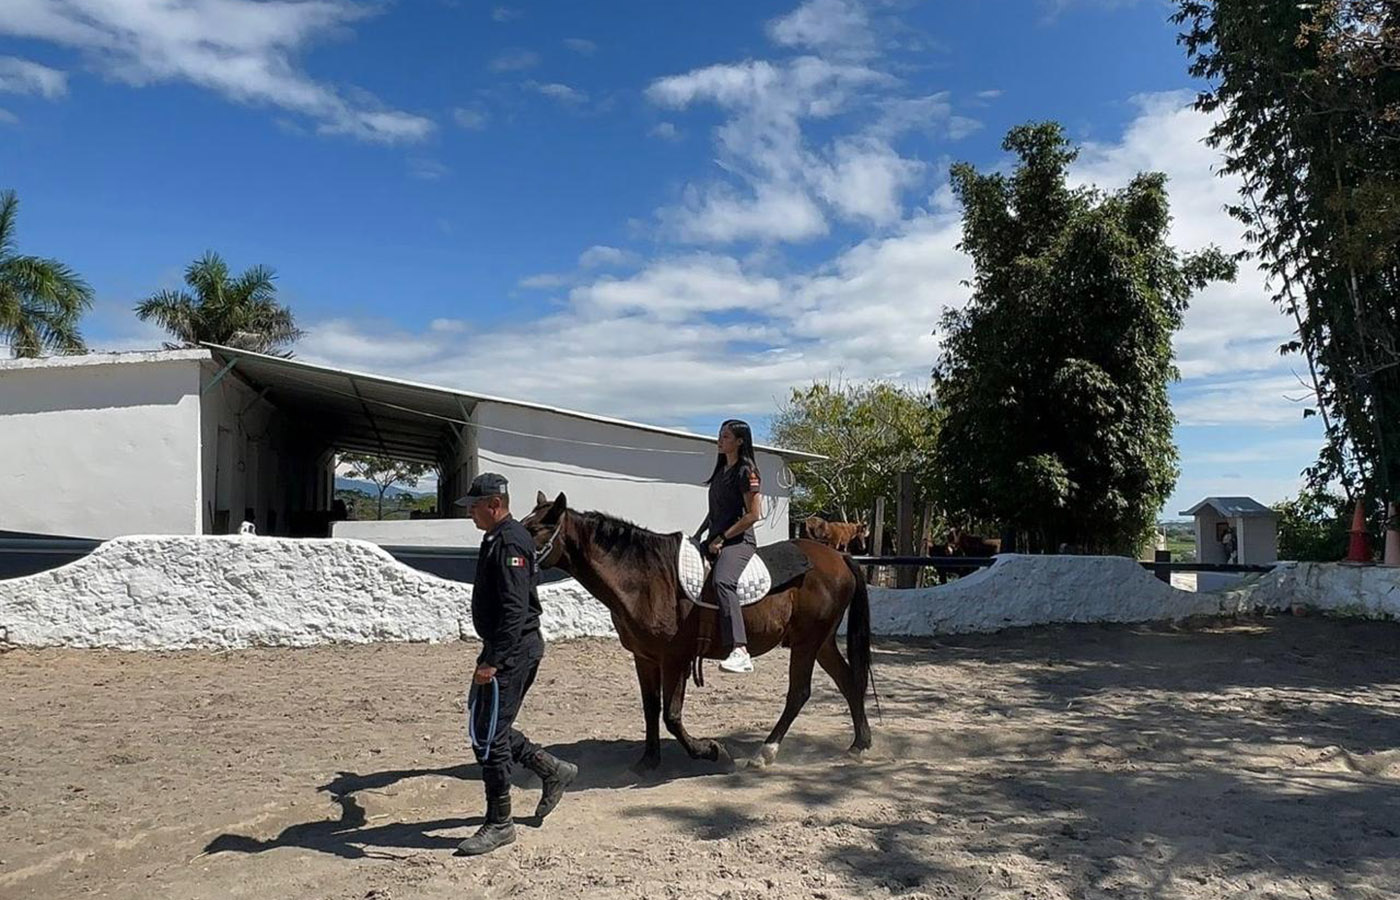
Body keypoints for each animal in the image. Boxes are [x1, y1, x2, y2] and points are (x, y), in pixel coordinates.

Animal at [526, 495, 873, 772]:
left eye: (533, 529)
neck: (648, 579)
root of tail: (839, 557)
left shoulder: (674, 658)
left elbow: (671, 715)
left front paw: (711, 751)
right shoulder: (644, 657)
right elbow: (651, 708)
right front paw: (649, 760)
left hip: (807, 643)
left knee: (799, 693)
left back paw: (765, 753)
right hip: (821, 642)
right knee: (848, 681)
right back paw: (859, 744)